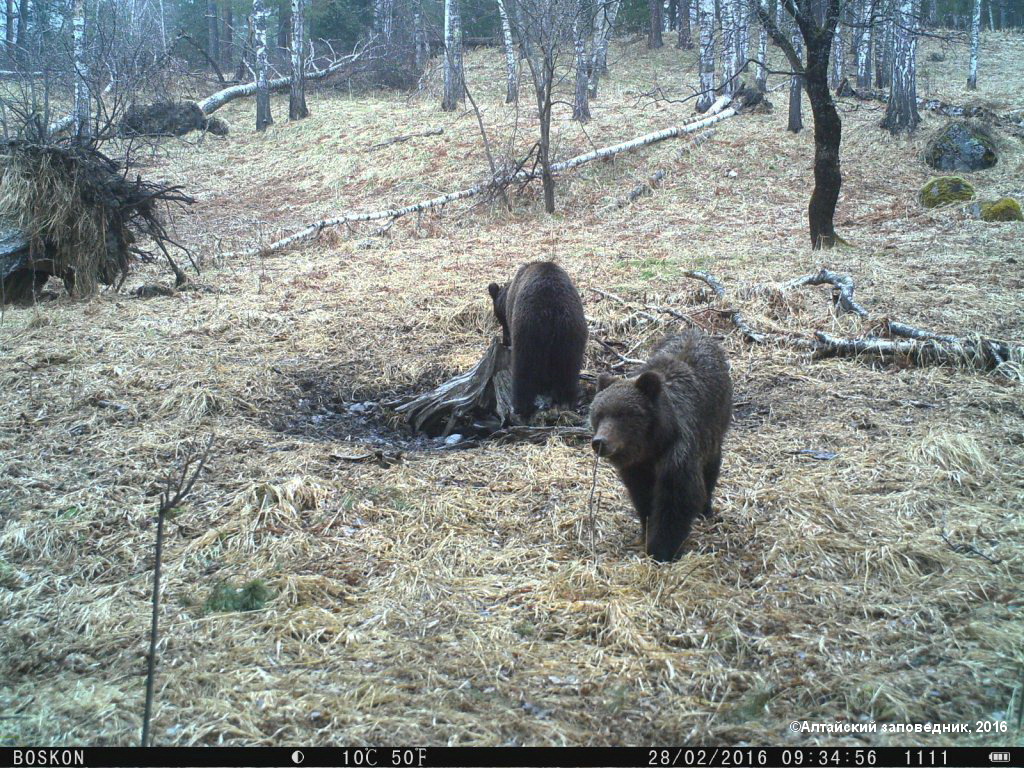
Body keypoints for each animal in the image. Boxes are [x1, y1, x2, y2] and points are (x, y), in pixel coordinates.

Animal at [485, 264, 585, 421]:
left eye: (499, 318)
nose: (506, 341)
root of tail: (553, 310)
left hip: (528, 330)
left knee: (523, 370)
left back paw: (520, 406)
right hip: (571, 334)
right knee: (569, 371)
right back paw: (567, 401)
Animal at [589, 331, 733, 565]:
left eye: (623, 414)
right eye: (599, 414)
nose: (600, 441)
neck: (652, 446)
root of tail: (695, 332)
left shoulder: (678, 454)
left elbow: (677, 498)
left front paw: (661, 549)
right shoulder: (637, 468)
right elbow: (643, 496)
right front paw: (646, 529)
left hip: (716, 422)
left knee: (711, 464)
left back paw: (706, 508)